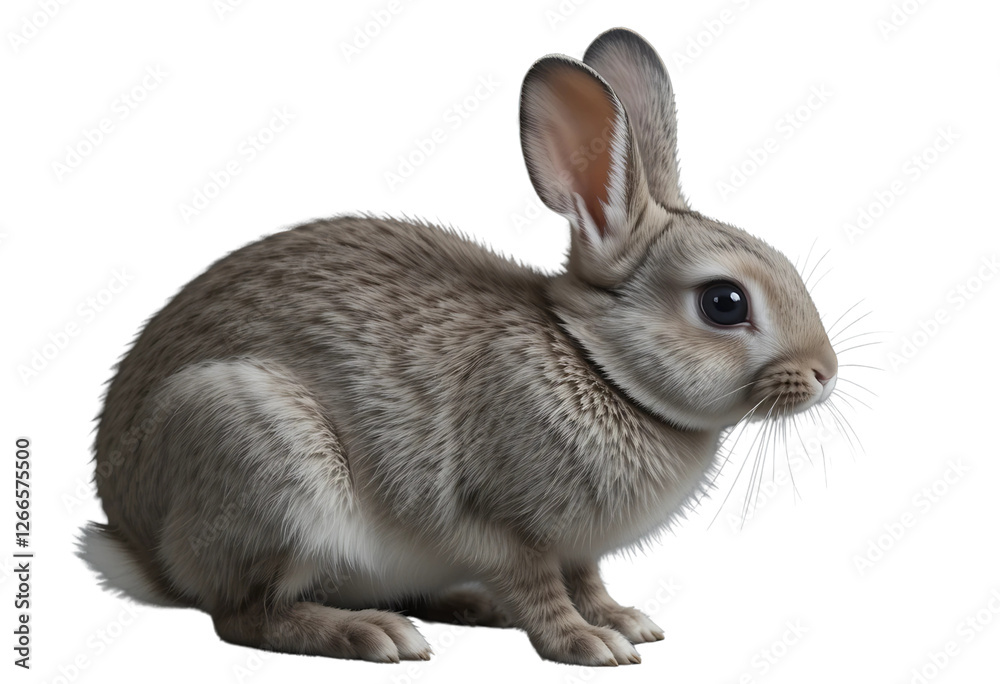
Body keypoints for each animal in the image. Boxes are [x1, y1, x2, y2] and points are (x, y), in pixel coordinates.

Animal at [79, 27, 838, 666]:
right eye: (724, 303)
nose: (825, 374)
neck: (596, 364)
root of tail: (139, 545)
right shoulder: (499, 523)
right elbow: (539, 587)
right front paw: (591, 646)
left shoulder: (579, 549)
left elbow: (587, 579)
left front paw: (625, 620)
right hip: (260, 455)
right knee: (242, 614)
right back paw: (374, 635)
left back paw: (464, 607)